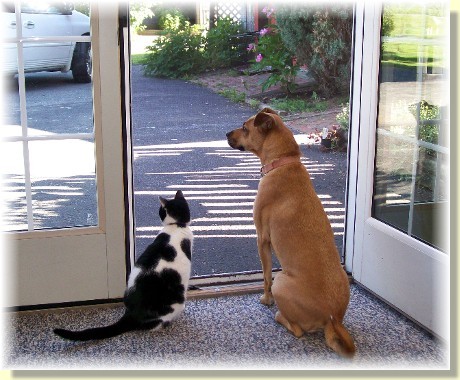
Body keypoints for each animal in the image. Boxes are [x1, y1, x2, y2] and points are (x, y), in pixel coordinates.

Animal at [53, 190, 193, 342]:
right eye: (161, 211)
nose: (160, 215)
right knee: (151, 325)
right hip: (176, 302)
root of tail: (131, 313)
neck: (177, 225)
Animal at [226, 108, 356, 358]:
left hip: (282, 281)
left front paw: (266, 300)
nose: (226, 133)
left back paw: (279, 316)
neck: (283, 161)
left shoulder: (262, 239)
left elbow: (265, 275)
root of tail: (333, 319)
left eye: (245, 128)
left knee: (297, 329)